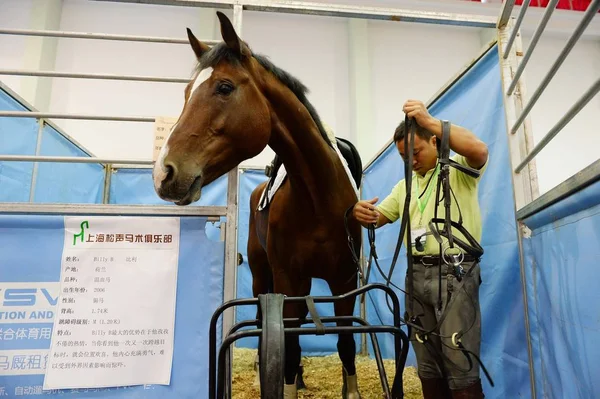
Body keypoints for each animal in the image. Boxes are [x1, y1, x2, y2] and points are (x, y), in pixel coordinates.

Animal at [152, 10, 364, 398]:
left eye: (224, 87)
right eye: (187, 93)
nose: (163, 173)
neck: (318, 199)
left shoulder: (344, 280)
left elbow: (345, 342)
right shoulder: (288, 281)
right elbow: (288, 344)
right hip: (263, 275)